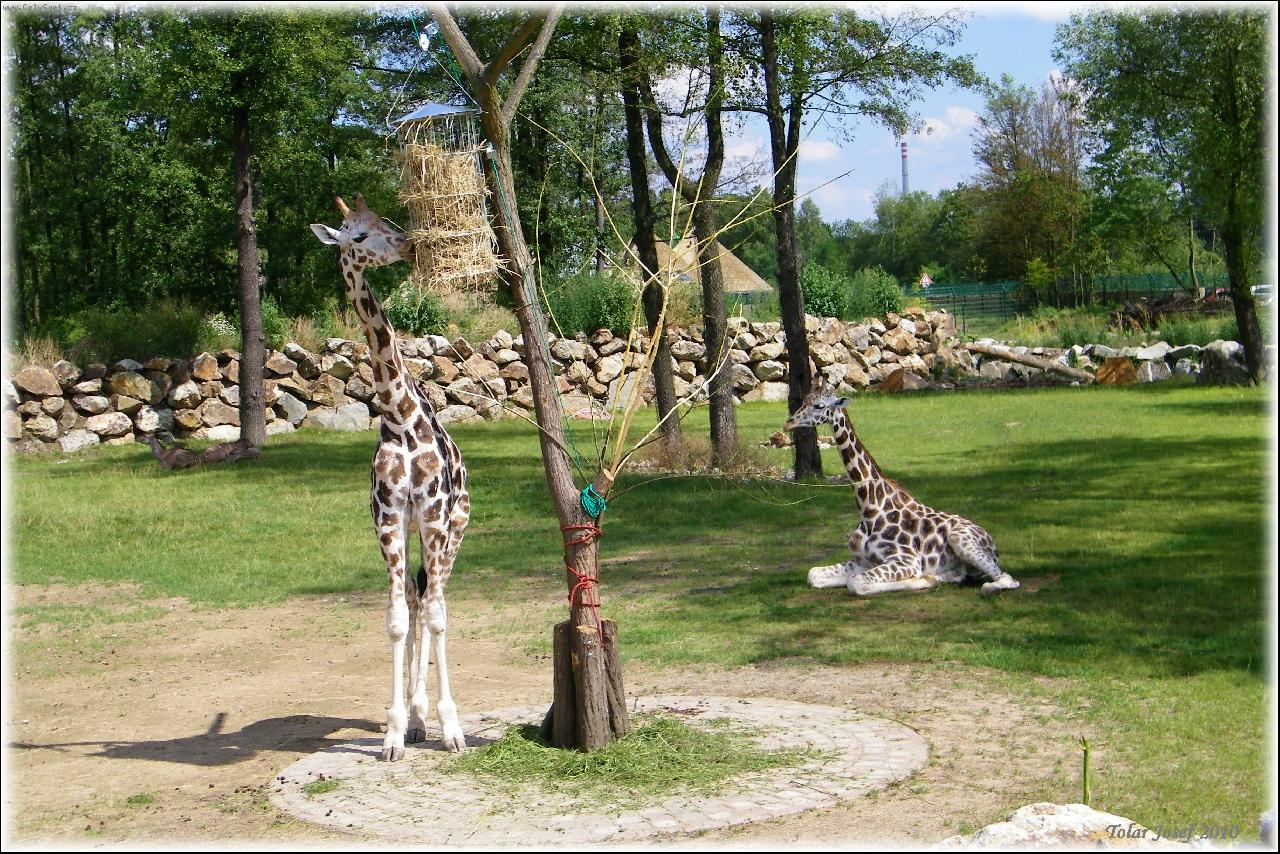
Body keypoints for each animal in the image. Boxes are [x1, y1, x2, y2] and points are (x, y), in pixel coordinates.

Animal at [311, 193, 470, 759]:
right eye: (356, 235)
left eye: (386, 219)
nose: (409, 245)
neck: (400, 417)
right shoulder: (388, 519)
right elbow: (399, 618)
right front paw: (396, 731)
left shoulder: (436, 517)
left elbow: (439, 615)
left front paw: (452, 728)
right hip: (413, 529)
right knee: (418, 600)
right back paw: (418, 718)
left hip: (454, 529)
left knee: (436, 601)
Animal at [783, 376, 1019, 597]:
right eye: (804, 401)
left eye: (819, 406)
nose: (788, 424)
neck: (869, 508)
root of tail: (991, 542)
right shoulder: (862, 561)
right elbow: (813, 574)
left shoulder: (906, 560)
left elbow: (856, 583)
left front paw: (922, 578)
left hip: (959, 539)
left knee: (1006, 579)